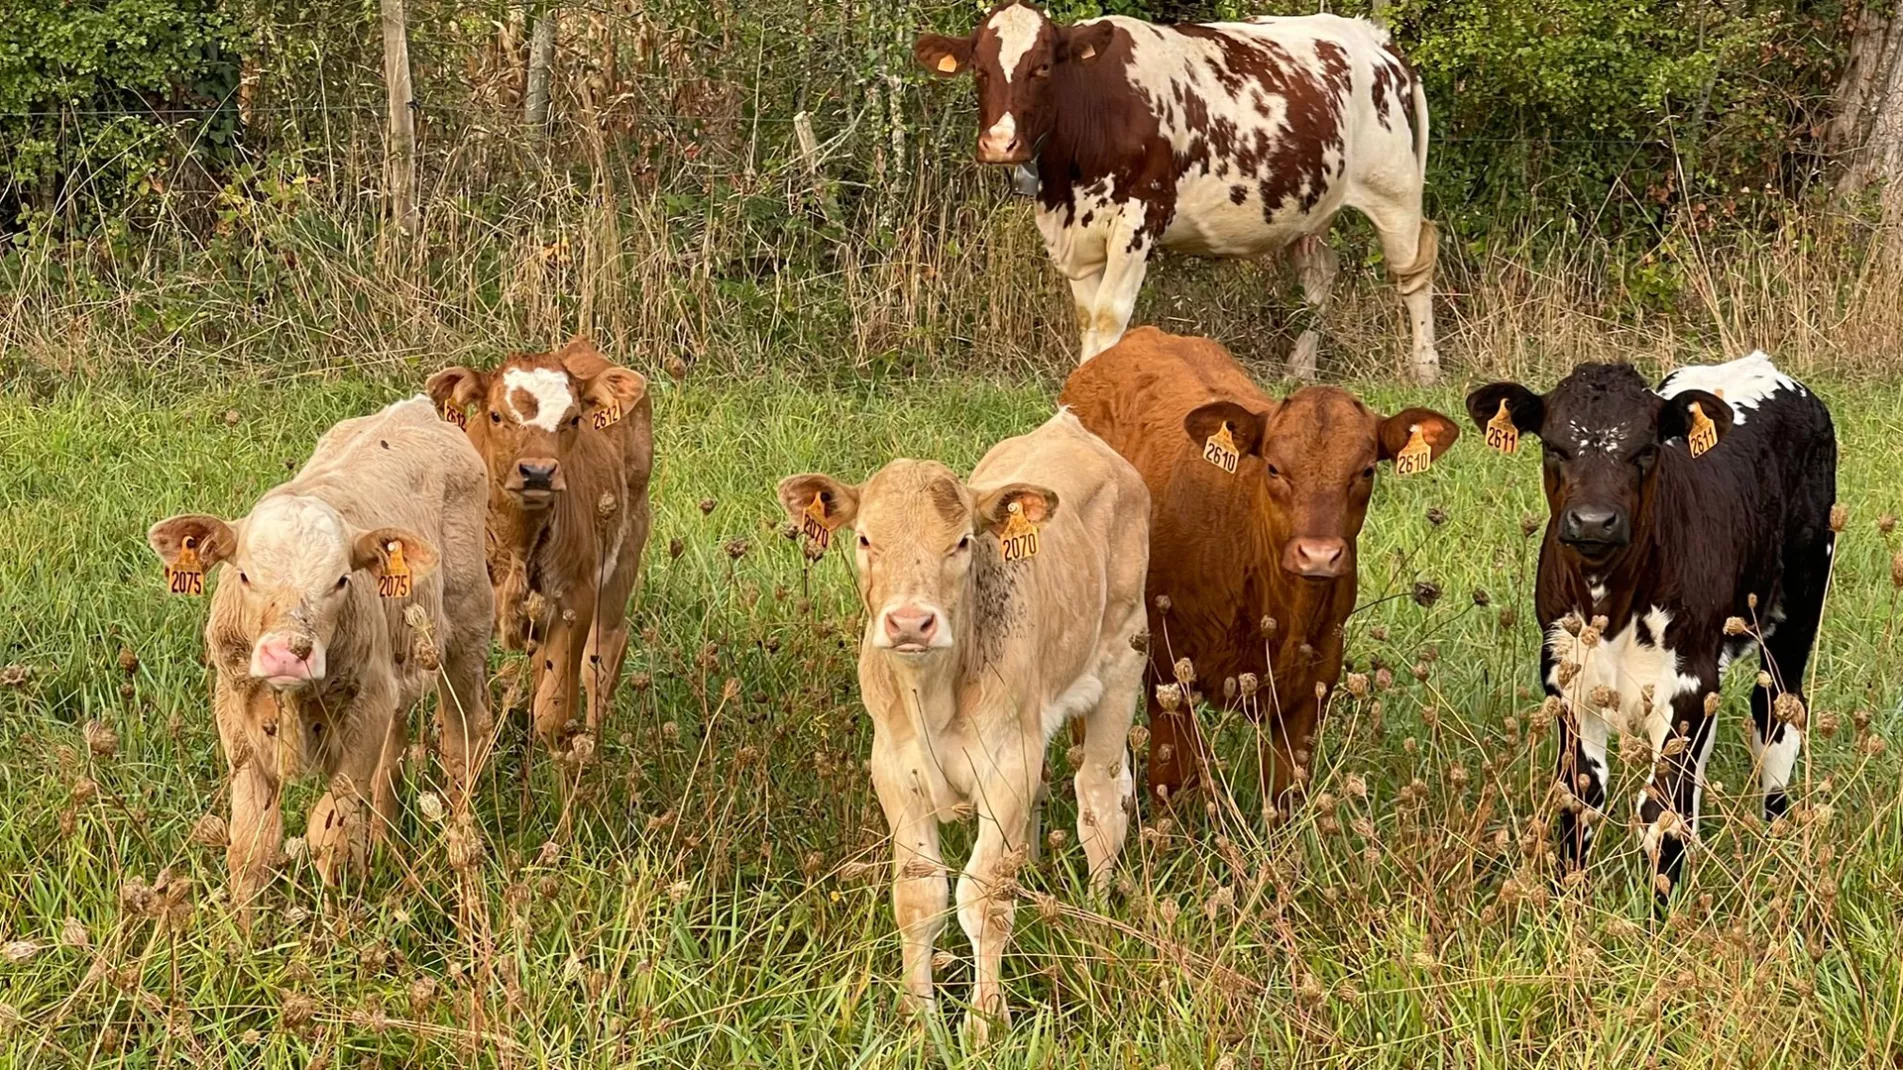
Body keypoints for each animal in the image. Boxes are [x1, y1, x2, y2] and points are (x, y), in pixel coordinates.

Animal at [426, 338, 654, 742]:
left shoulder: (575, 601)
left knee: (603, 656)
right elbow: (463, 720)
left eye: (573, 419)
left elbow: (554, 714)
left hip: (625, 555)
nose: (537, 472)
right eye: (496, 416)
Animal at [772, 405, 1141, 1035]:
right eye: (865, 538)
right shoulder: (895, 771)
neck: (933, 695)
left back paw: (1096, 925)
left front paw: (984, 1023)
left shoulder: (1006, 768)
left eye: (963, 541)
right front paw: (917, 1021)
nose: (909, 623)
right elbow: (920, 898)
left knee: (1099, 800)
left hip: (1123, 664)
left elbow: (985, 898)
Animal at [913, 0, 1431, 378]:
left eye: (1042, 67)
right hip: (1309, 205)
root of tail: (1374, 39)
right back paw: (1299, 370)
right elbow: (1087, 316)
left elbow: (1109, 316)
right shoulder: (1069, 230)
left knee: (1414, 272)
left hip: (1395, 192)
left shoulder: (1139, 217)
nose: (1000, 143)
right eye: (980, 70)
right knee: (1320, 276)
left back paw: (1425, 370)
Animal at [1461, 352, 1834, 891]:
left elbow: (1665, 811)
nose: (1593, 522)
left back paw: (1777, 840)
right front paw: (1567, 898)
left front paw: (1663, 909)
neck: (1611, 606)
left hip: (1798, 611)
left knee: (1776, 715)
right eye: (1553, 445)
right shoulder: (1566, 676)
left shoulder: (1689, 680)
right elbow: (1579, 794)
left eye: (1647, 449)